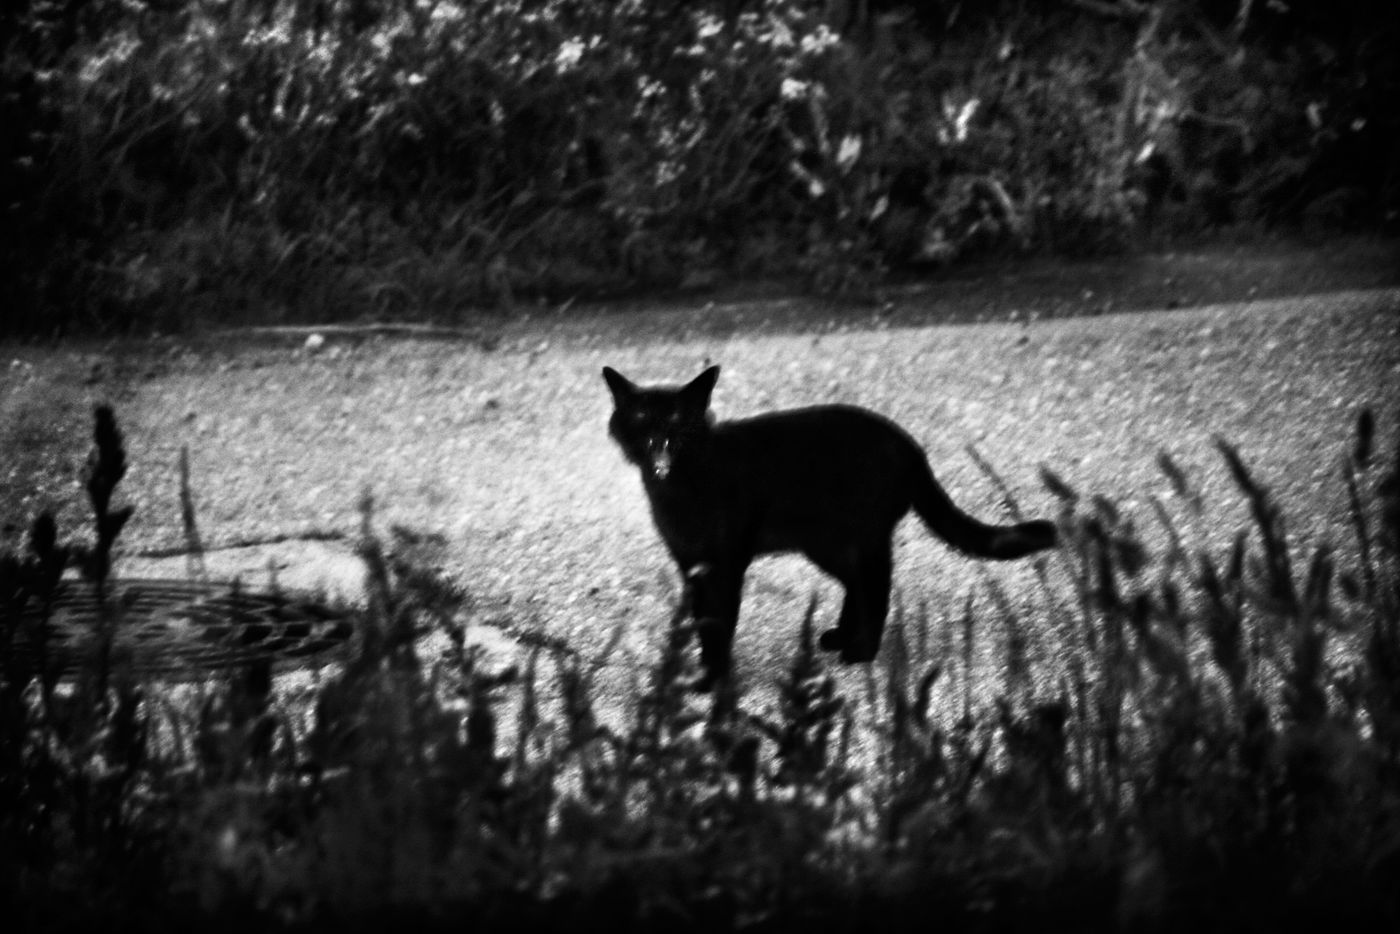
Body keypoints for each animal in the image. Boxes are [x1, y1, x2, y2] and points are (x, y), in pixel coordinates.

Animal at [603, 364, 1057, 690]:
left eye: (677, 415)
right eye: (641, 415)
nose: (659, 434)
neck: (676, 486)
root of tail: (910, 446)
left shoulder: (726, 563)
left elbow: (720, 620)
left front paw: (715, 679)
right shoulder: (691, 565)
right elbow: (701, 621)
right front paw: (701, 672)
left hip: (862, 537)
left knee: (877, 587)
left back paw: (861, 652)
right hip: (827, 543)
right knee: (856, 583)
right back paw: (841, 637)